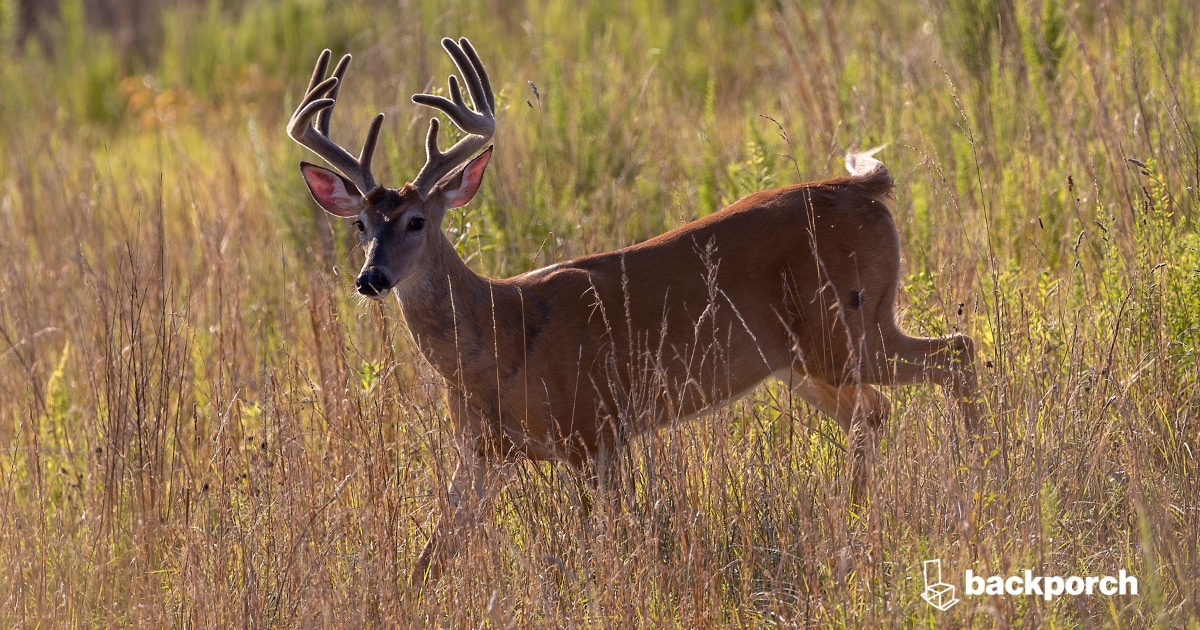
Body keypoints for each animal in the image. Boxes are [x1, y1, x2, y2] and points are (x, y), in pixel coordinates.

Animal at [288, 38, 984, 585]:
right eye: (360, 225)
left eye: (416, 220)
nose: (371, 278)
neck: (502, 335)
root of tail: (866, 187)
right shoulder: (485, 451)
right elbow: (431, 555)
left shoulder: (596, 426)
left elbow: (610, 541)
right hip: (806, 359)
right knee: (876, 409)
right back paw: (857, 517)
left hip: (848, 326)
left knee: (957, 352)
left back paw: (979, 470)